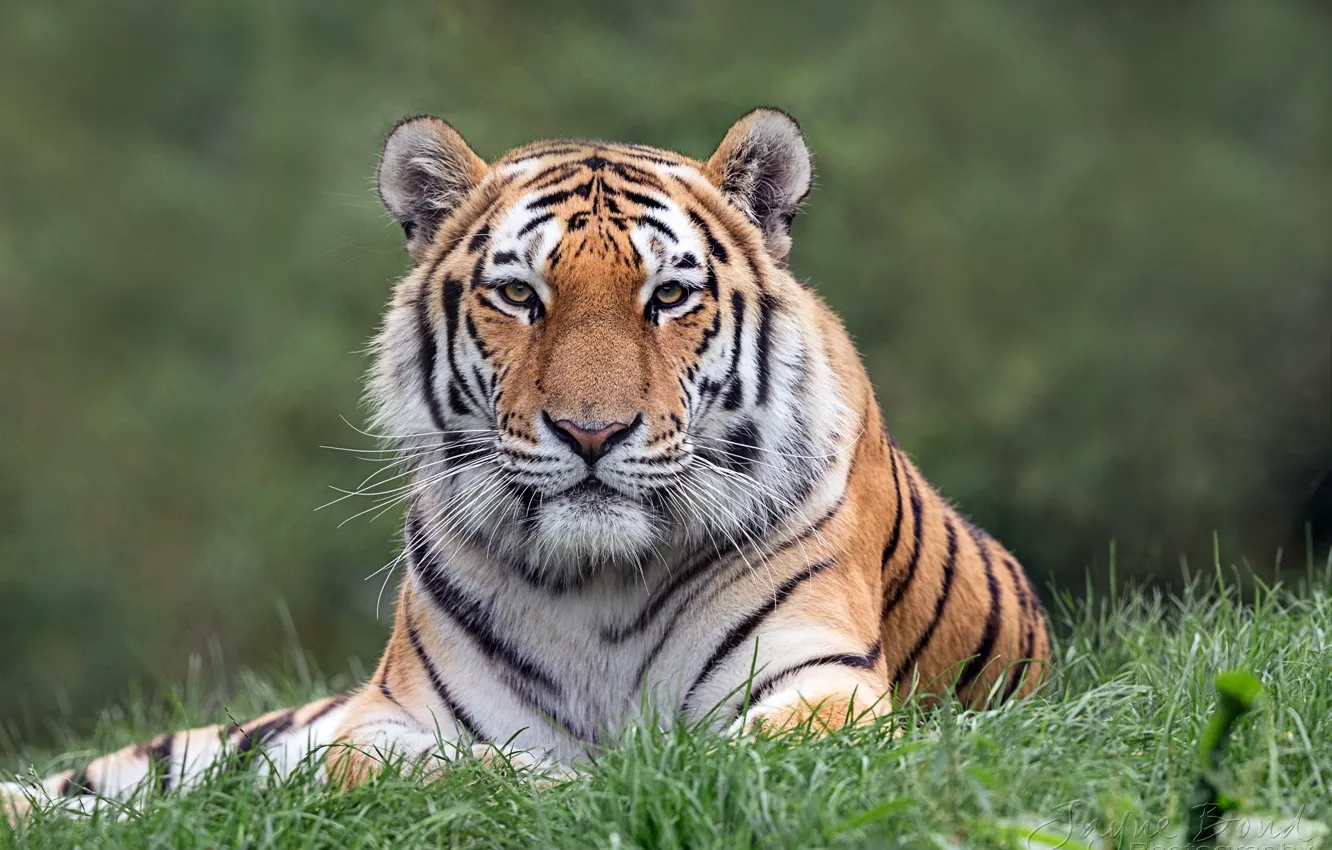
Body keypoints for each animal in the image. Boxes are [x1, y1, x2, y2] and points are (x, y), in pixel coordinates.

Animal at [2, 108, 1049, 823]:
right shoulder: (385, 720)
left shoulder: (819, 680)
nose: (591, 432)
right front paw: (571, 782)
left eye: (669, 297)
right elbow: (443, 770)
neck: (602, 585)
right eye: (519, 295)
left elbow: (737, 752)